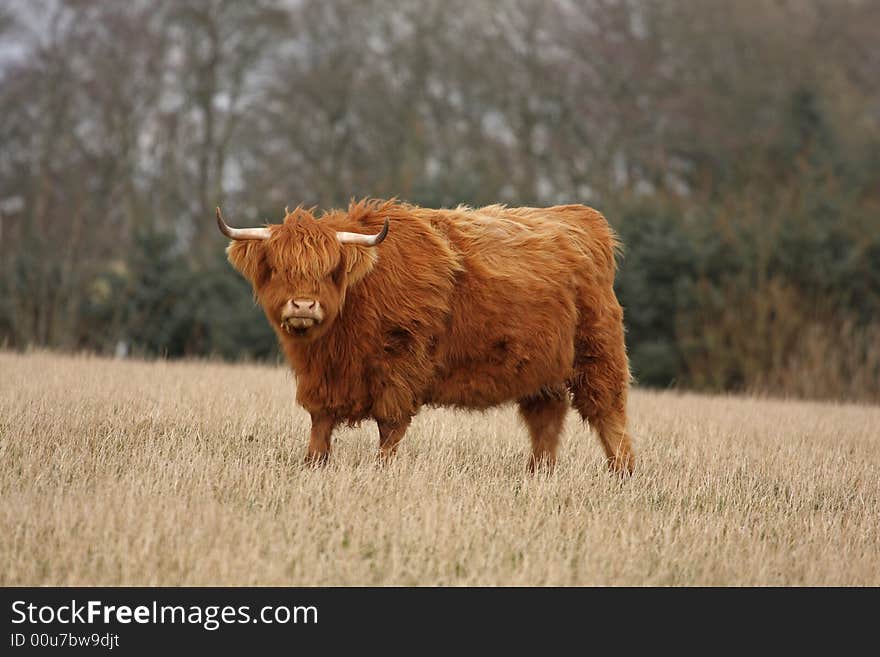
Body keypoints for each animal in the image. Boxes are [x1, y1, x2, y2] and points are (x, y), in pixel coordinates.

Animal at [217, 200, 636, 472]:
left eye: (332, 270)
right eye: (277, 268)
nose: (303, 305)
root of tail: (581, 218)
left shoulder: (400, 368)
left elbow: (390, 427)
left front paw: (382, 471)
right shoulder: (320, 379)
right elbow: (320, 425)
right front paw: (312, 465)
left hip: (597, 352)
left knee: (608, 413)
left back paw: (622, 472)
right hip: (540, 370)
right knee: (545, 419)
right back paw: (537, 473)